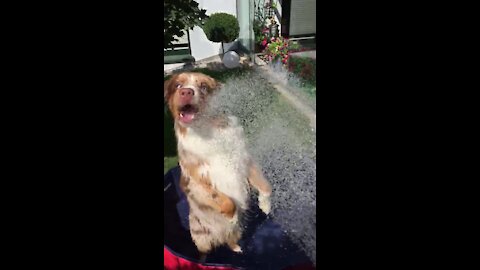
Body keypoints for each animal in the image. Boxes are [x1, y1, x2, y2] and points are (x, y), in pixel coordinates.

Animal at [164, 73, 272, 258]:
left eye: (204, 87)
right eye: (178, 85)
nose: (186, 92)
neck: (208, 131)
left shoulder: (244, 158)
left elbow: (265, 185)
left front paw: (265, 205)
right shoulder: (196, 181)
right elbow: (225, 200)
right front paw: (232, 216)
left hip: (237, 232)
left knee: (230, 240)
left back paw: (236, 248)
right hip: (202, 240)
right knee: (204, 251)